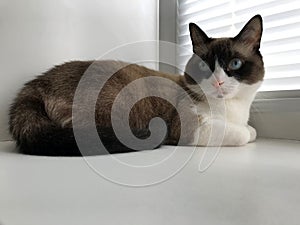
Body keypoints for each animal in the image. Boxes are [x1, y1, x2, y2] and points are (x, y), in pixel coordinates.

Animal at [8, 13, 264, 155]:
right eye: (204, 66)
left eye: (235, 63)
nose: (218, 82)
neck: (233, 110)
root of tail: (35, 84)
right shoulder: (190, 126)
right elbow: (243, 134)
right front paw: (244, 132)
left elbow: (252, 131)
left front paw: (250, 128)